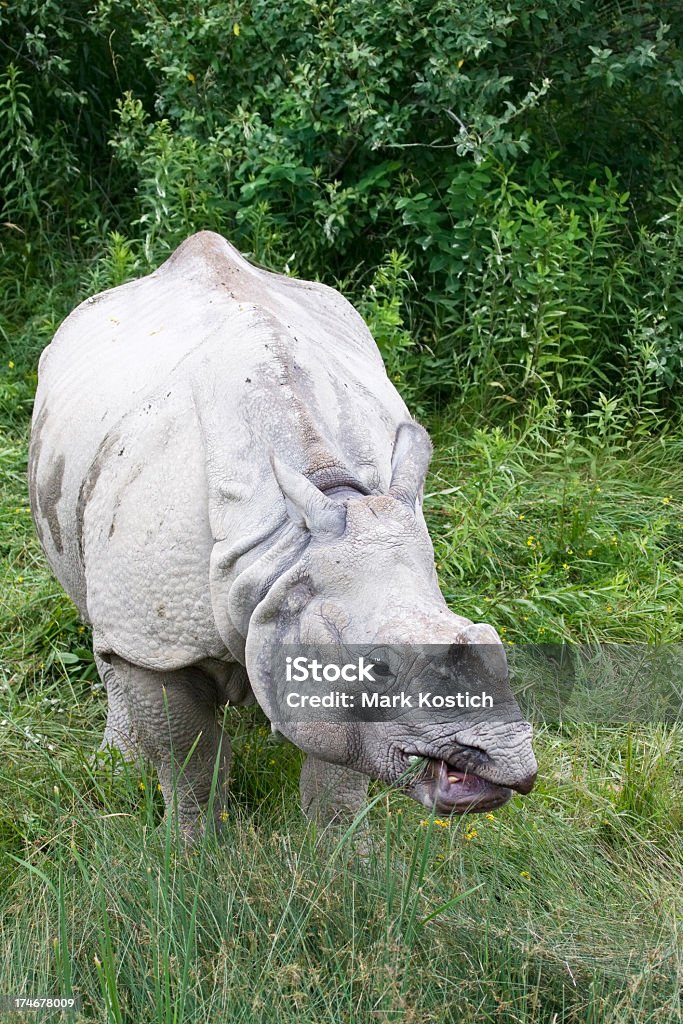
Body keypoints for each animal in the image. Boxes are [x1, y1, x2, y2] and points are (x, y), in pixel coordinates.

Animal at [29, 234, 536, 839]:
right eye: (379, 667)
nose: (510, 761)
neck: (287, 548)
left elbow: (336, 774)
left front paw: (341, 858)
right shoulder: (158, 638)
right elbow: (190, 762)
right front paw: (194, 850)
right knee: (100, 623)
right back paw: (119, 762)